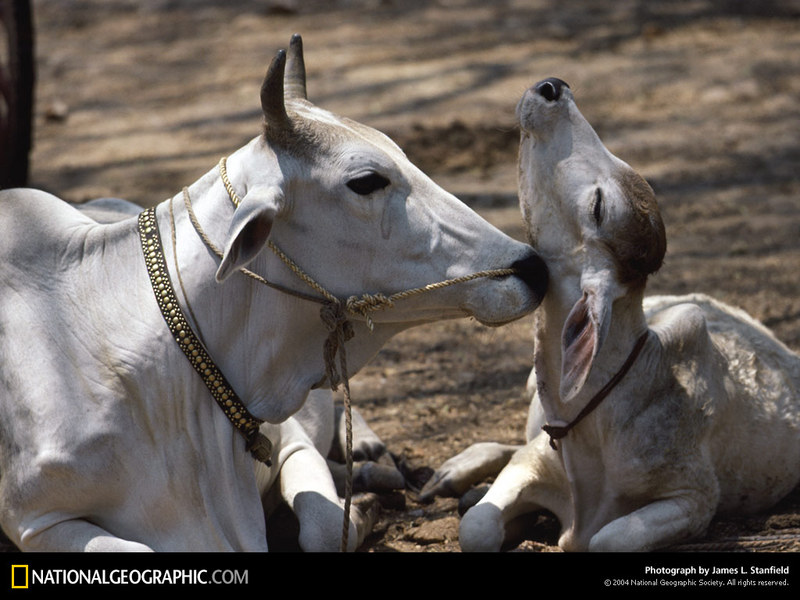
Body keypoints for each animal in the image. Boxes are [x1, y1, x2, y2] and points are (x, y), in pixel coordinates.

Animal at [418, 77, 800, 552]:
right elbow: (478, 526)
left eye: (600, 206)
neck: (593, 426)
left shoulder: (695, 497)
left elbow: (607, 540)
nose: (553, 87)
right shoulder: (534, 458)